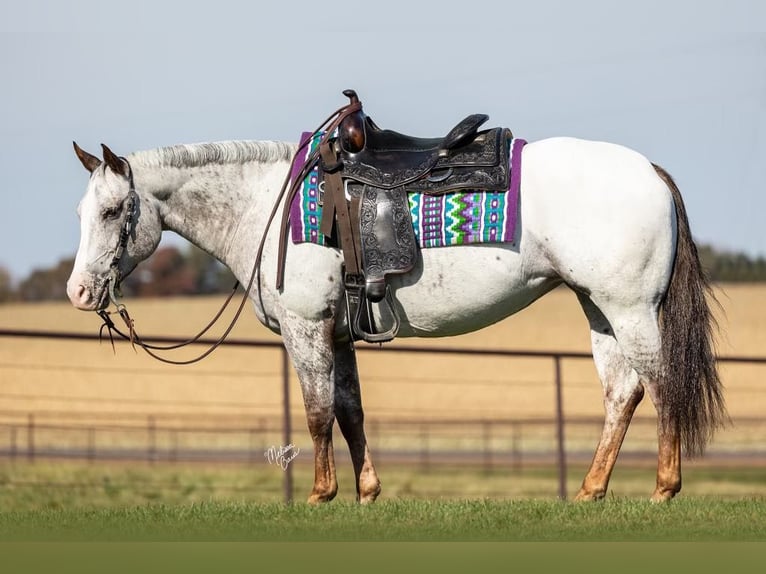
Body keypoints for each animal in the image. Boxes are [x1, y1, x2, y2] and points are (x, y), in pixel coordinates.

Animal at [66, 124, 728, 502]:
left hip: (631, 308)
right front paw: (366, 492)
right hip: (599, 308)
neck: (266, 205)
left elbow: (315, 414)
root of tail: (650, 171)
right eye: (81, 211)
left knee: (661, 384)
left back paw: (664, 488)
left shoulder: (307, 327)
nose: (78, 292)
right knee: (623, 393)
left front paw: (321, 495)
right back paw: (591, 491)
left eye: (112, 212)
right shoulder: (338, 333)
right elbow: (350, 411)